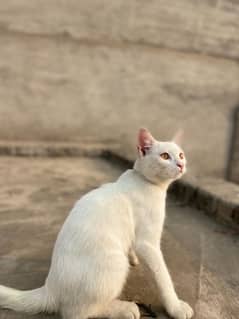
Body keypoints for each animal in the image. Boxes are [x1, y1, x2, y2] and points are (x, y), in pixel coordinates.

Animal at [0, 128, 194, 319]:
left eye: (181, 155)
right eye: (165, 156)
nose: (181, 164)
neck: (146, 182)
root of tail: (50, 287)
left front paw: (133, 257)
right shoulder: (148, 243)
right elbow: (163, 277)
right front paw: (176, 307)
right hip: (116, 263)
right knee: (78, 312)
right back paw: (124, 308)